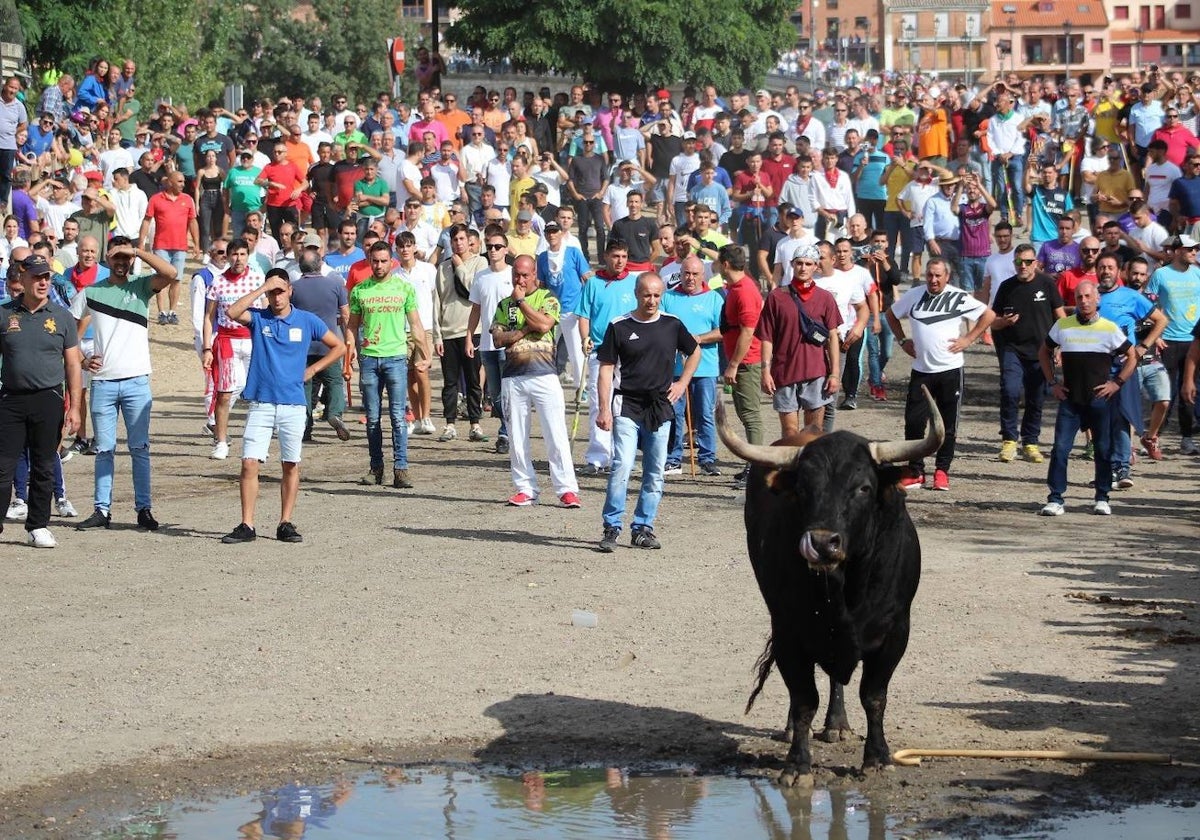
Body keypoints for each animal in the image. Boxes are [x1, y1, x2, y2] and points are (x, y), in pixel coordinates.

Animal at [715, 386, 940, 782]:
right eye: (804, 488)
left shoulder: (896, 631)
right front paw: (797, 764)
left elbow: (874, 696)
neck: (846, 590)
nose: (822, 543)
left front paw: (877, 757)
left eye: (863, 487)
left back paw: (837, 725)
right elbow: (804, 699)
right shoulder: (788, 631)